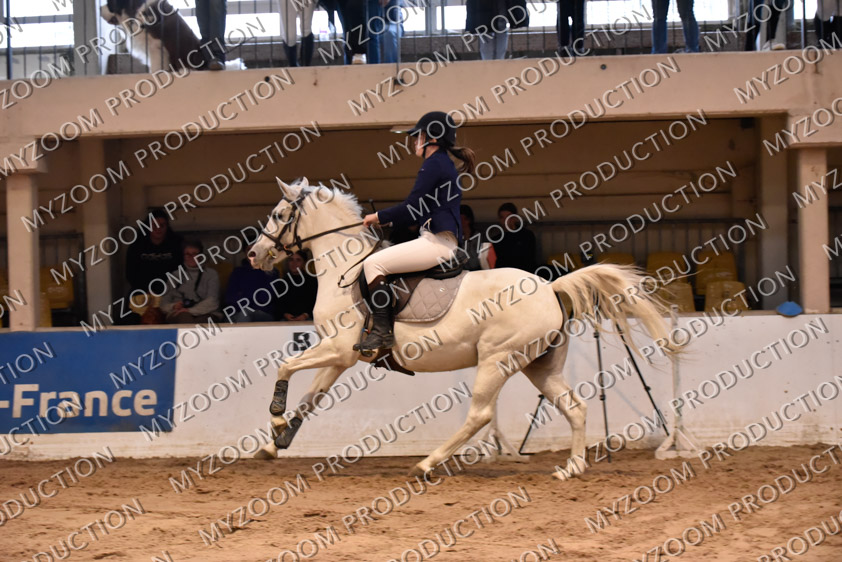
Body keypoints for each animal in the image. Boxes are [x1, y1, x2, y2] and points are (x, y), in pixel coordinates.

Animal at [246, 178, 673, 479]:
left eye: (278, 215)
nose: (254, 255)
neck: (344, 269)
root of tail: (550, 288)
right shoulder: (339, 358)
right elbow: (311, 398)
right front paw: (276, 443)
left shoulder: (335, 349)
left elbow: (284, 367)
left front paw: (276, 419)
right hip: (539, 366)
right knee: (575, 407)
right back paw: (572, 468)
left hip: (497, 359)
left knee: (481, 415)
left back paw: (427, 464)